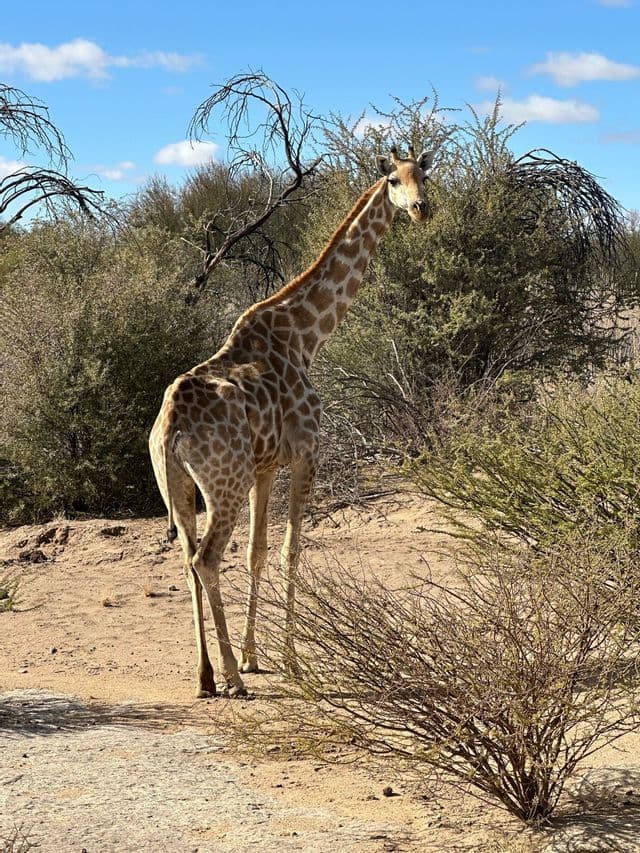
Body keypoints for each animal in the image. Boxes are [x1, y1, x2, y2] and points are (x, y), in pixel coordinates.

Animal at [149, 144, 435, 697]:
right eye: (393, 179)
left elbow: (258, 552)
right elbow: (291, 550)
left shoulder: (265, 467)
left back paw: (205, 676)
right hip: (224, 483)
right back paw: (230, 679)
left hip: (178, 484)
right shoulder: (306, 452)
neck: (306, 336)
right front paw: (290, 660)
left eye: (424, 176)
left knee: (188, 561)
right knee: (205, 559)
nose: (420, 210)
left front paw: (255, 656)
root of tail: (170, 427)